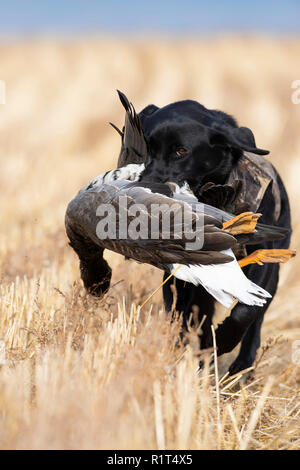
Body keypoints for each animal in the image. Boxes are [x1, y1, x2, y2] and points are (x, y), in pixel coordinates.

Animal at [116, 95, 290, 374]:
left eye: (181, 151)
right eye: (145, 148)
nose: (144, 186)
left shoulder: (265, 262)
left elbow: (247, 311)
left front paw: (225, 340)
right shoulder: (182, 276)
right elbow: (184, 317)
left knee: (254, 326)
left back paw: (240, 369)